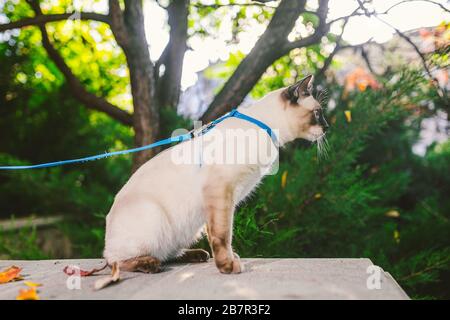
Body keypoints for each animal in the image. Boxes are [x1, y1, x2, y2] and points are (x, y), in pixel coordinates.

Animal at [101, 74, 326, 278]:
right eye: (318, 113)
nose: (327, 127)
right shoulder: (221, 192)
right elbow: (223, 234)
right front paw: (228, 266)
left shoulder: (227, 200)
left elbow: (224, 234)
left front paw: (231, 259)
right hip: (155, 220)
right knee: (116, 262)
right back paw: (149, 263)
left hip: (189, 228)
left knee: (168, 253)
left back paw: (196, 255)